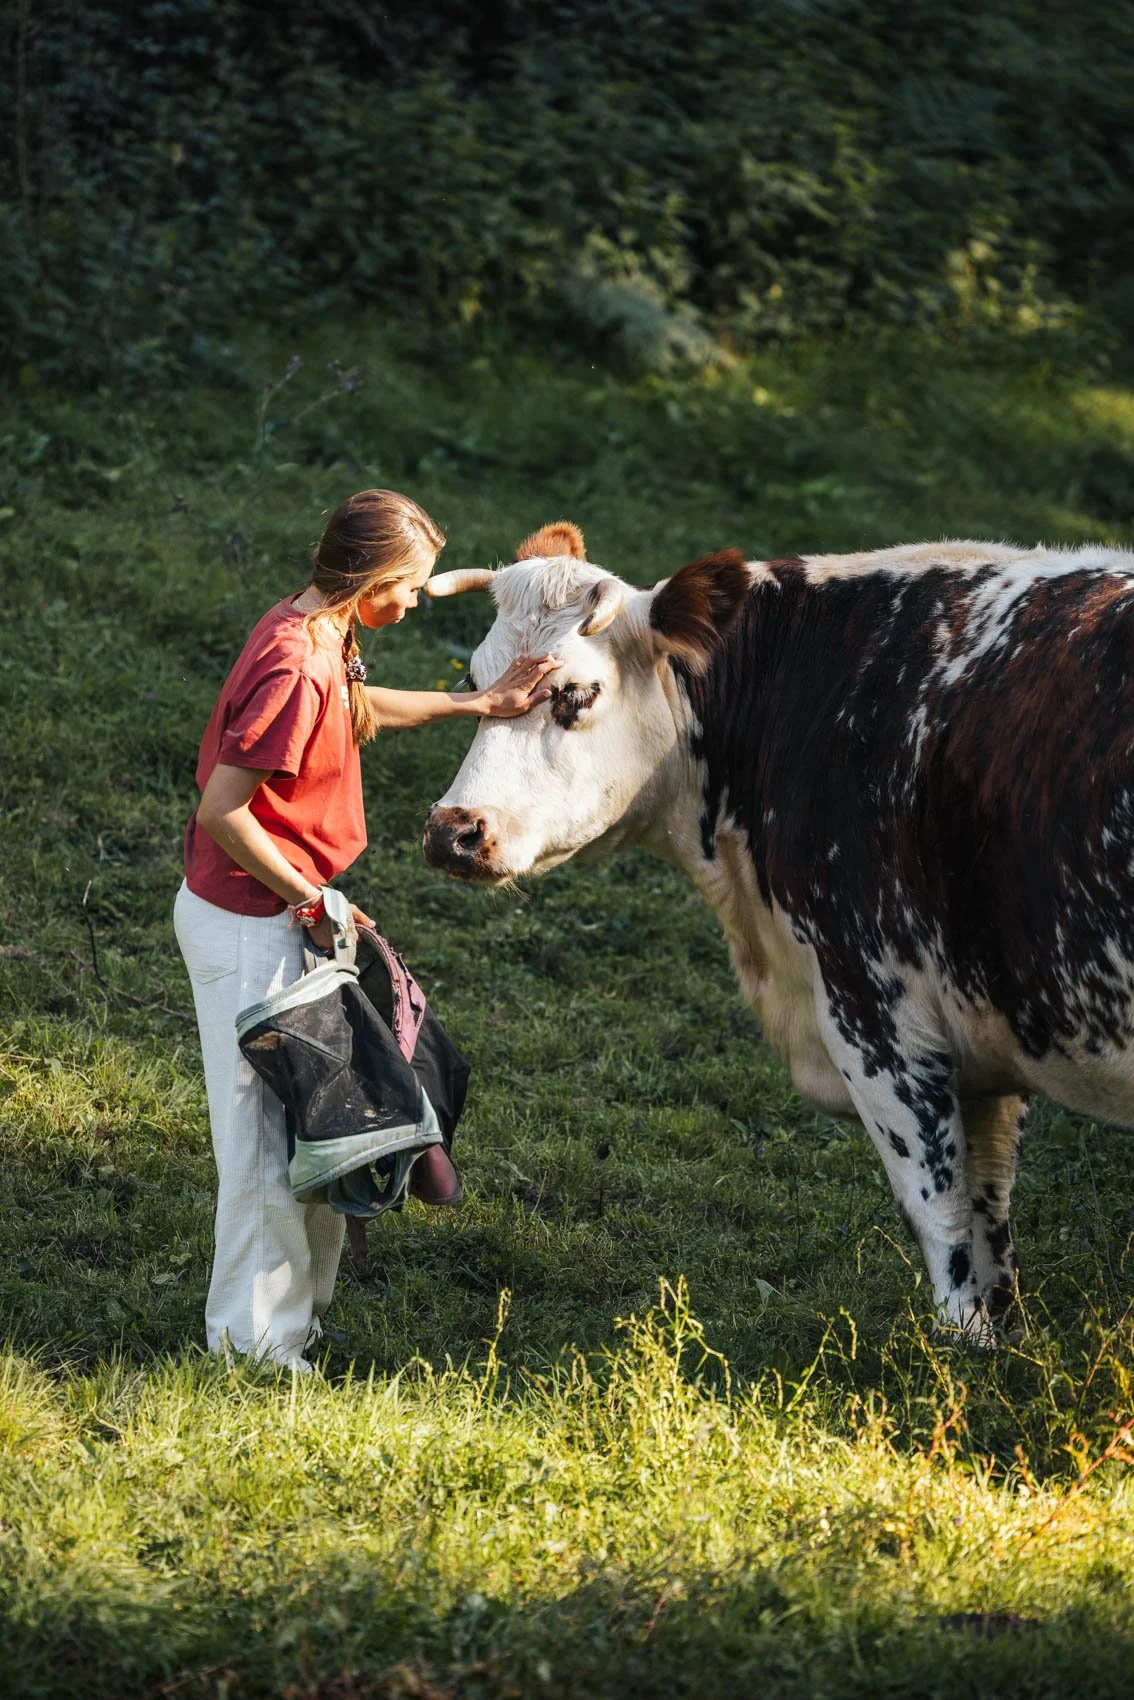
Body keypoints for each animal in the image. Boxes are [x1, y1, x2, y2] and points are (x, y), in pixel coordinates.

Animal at [422, 521, 1134, 1341]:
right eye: (475, 681)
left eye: (573, 692)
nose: (453, 831)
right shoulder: (979, 1045)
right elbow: (989, 1214)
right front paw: (1001, 1348)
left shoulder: (876, 1014)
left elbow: (943, 1214)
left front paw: (959, 1355)